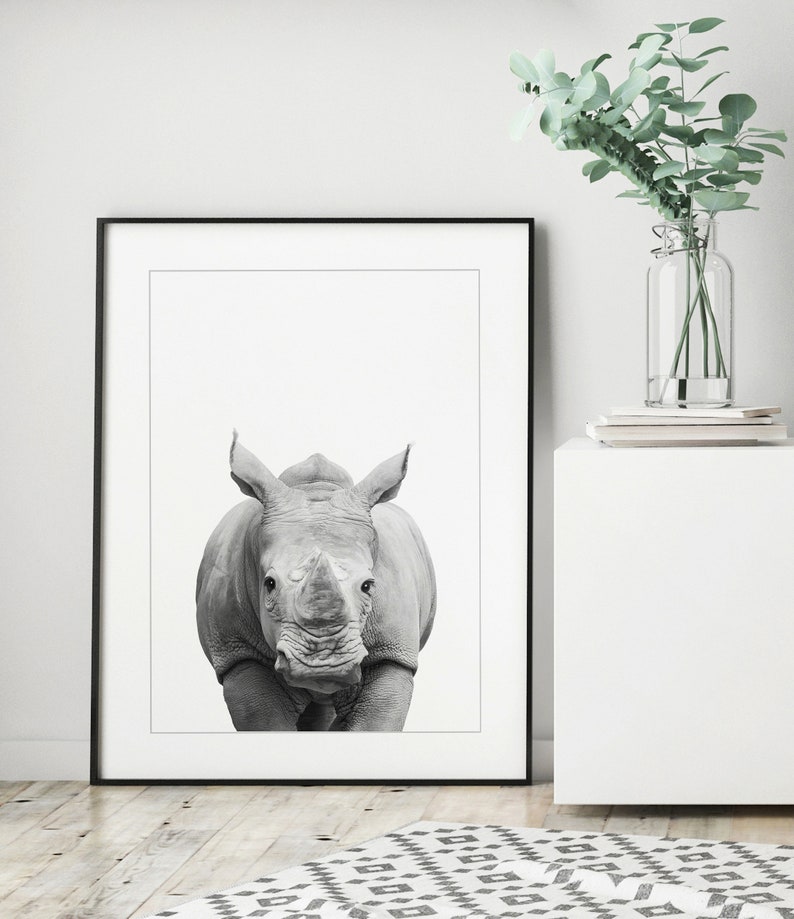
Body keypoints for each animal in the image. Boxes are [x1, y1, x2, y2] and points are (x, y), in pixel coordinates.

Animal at [196, 433, 436, 731]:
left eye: (368, 586)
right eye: (269, 583)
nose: (324, 664)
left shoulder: (393, 653)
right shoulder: (238, 651)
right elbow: (266, 721)